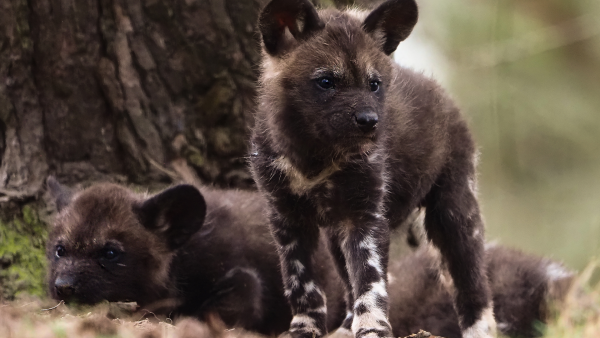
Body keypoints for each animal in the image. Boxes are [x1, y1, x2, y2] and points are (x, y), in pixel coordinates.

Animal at [251, 0, 494, 338]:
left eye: (374, 84)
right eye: (326, 81)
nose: (369, 121)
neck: (314, 156)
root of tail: (442, 93)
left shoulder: (365, 217)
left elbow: (370, 279)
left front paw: (373, 328)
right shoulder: (288, 218)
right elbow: (302, 283)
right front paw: (305, 328)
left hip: (454, 216)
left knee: (473, 285)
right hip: (336, 235)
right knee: (347, 283)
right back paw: (344, 327)